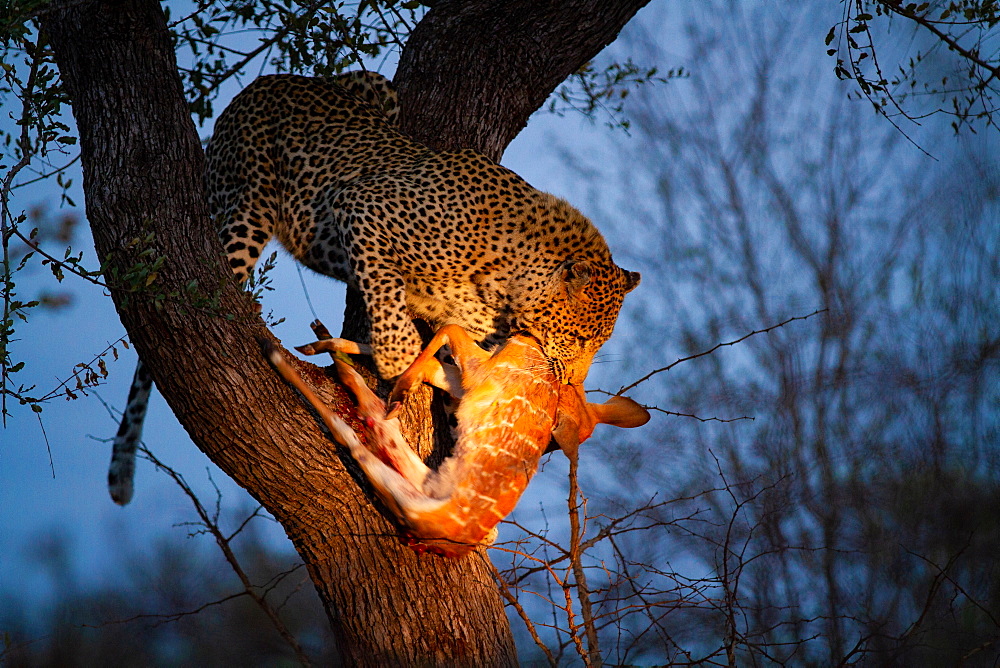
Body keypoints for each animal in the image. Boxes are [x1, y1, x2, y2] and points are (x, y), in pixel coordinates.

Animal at [109, 70, 640, 504]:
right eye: (579, 339)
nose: (571, 384)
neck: (509, 279)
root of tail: (261, 84)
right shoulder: (362, 206)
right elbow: (389, 301)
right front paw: (395, 365)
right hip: (247, 206)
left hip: (376, 89)